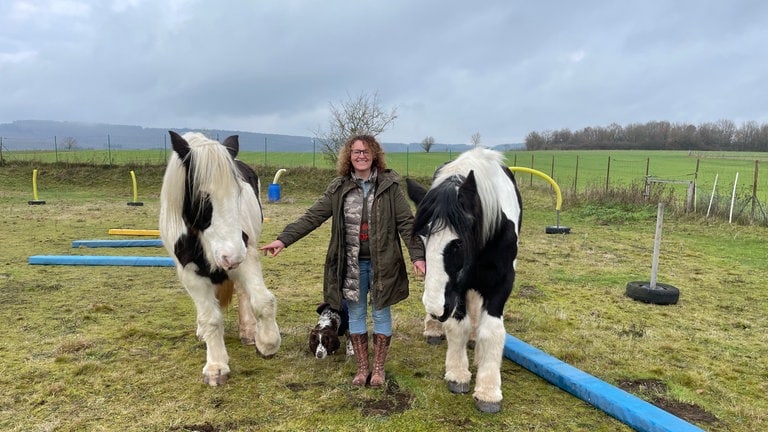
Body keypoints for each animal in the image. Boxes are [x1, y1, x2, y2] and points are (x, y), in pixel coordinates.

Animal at [160, 130, 282, 386]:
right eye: (202, 197)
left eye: (238, 194)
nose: (231, 255)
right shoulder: (191, 272)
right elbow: (211, 318)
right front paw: (216, 366)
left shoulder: (246, 256)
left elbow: (262, 300)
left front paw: (267, 343)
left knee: (244, 294)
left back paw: (249, 331)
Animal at [408, 148, 520, 412]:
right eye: (422, 238)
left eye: (457, 243)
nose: (436, 309)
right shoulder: (456, 289)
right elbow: (457, 325)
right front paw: (458, 373)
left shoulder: (501, 283)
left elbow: (492, 331)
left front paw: (489, 390)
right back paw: (433, 329)